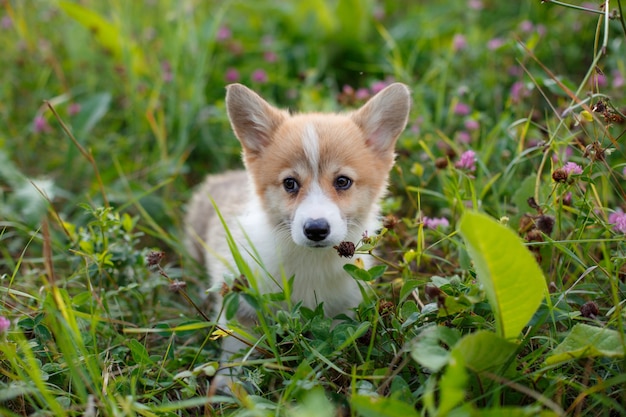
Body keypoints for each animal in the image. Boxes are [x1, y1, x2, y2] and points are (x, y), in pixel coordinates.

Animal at [184, 83, 410, 392]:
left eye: (343, 181)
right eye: (290, 183)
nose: (316, 229)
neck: (310, 263)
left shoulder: (345, 309)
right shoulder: (241, 301)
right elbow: (236, 347)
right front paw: (229, 388)